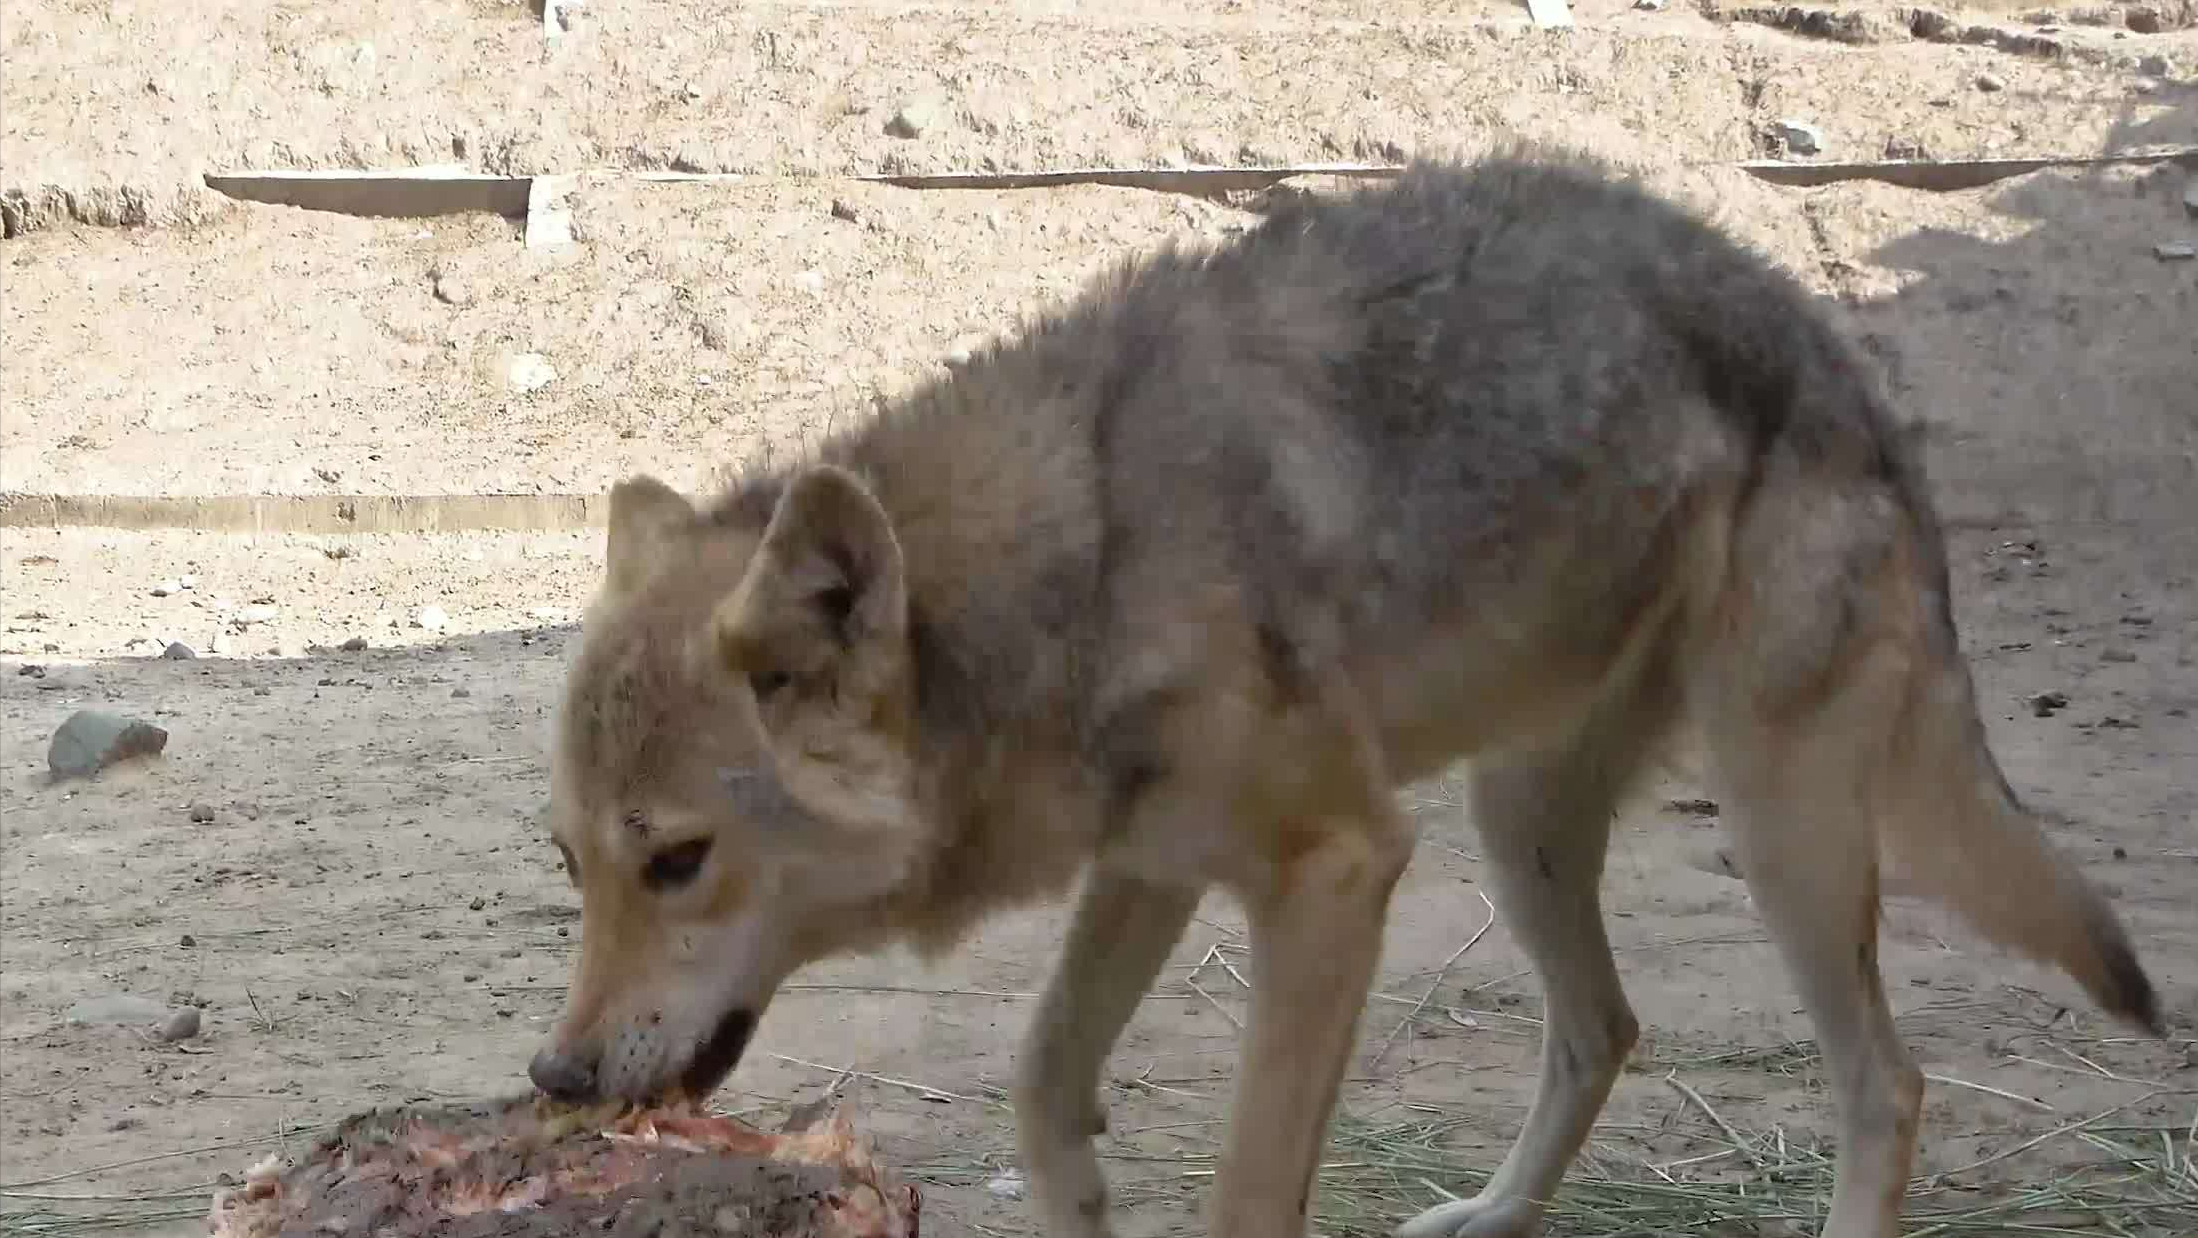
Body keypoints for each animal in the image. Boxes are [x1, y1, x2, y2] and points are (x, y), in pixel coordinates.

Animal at [523, 145, 2154, 1238]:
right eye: (574, 862)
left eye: (676, 859)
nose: (554, 1072)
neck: (1091, 556)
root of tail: (1835, 350)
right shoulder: (1153, 862)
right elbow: (1042, 1078)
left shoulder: (1332, 871)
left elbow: (1249, 1187)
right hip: (1521, 824)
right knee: (1605, 1027)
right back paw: (1486, 1216)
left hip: (1775, 825)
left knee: (1885, 1082)